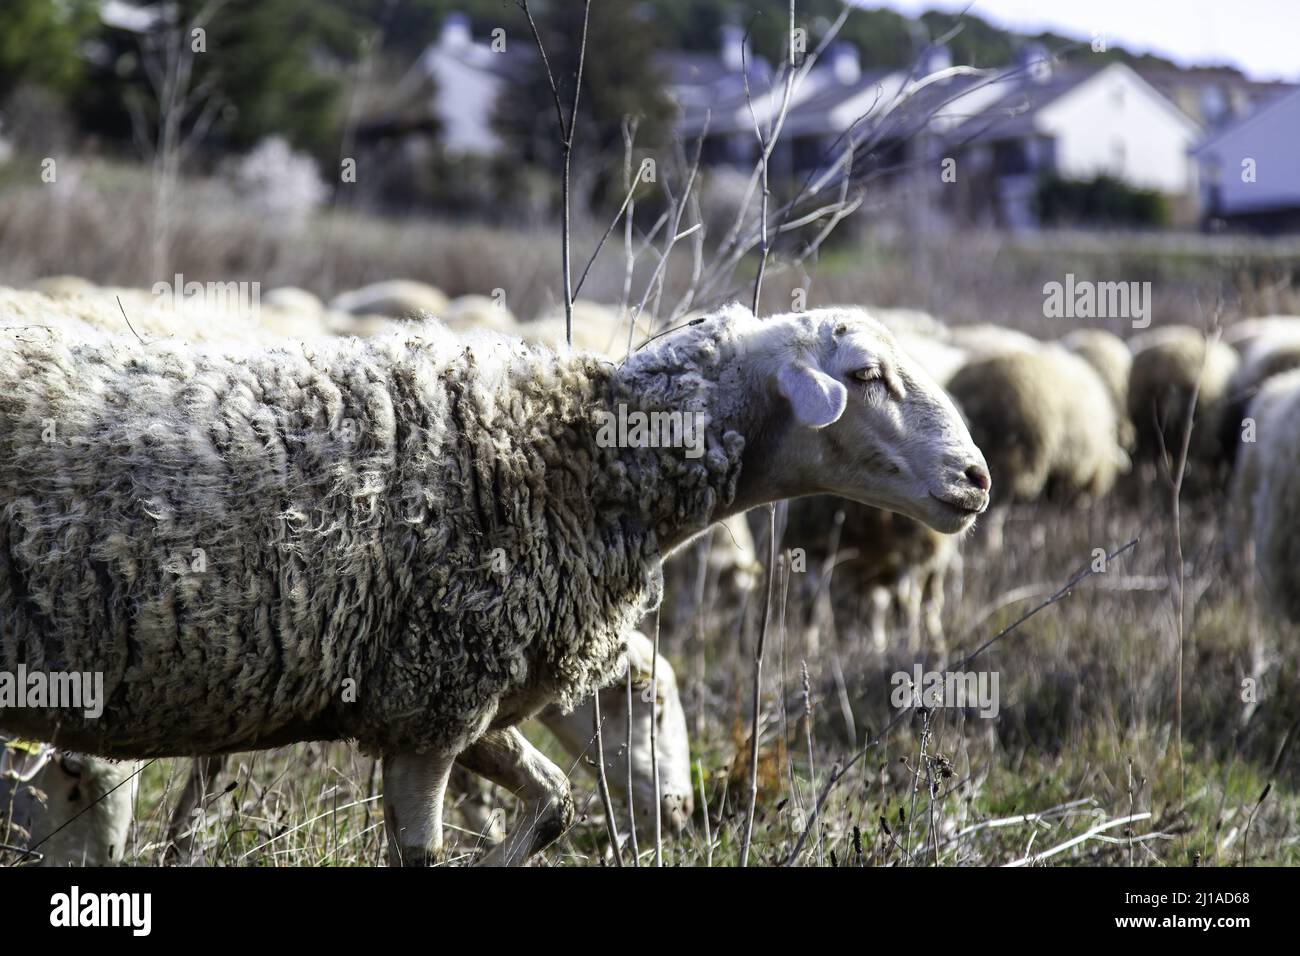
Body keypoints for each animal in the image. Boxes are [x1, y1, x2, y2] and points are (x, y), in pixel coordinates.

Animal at [0, 303, 987, 863]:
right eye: (866, 375)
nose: (976, 478)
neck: (579, 457)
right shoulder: (431, 705)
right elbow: (424, 855)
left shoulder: (456, 698)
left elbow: (553, 804)